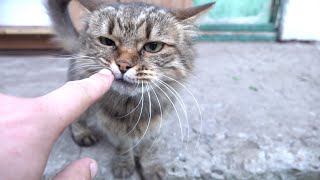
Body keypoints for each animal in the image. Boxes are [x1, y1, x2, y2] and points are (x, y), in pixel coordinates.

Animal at [47, 0, 212, 179]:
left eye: (153, 46)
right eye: (106, 41)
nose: (123, 65)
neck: (133, 108)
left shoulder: (158, 125)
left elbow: (150, 148)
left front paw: (150, 167)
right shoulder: (112, 126)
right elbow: (124, 147)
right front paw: (124, 164)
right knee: (75, 118)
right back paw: (82, 134)